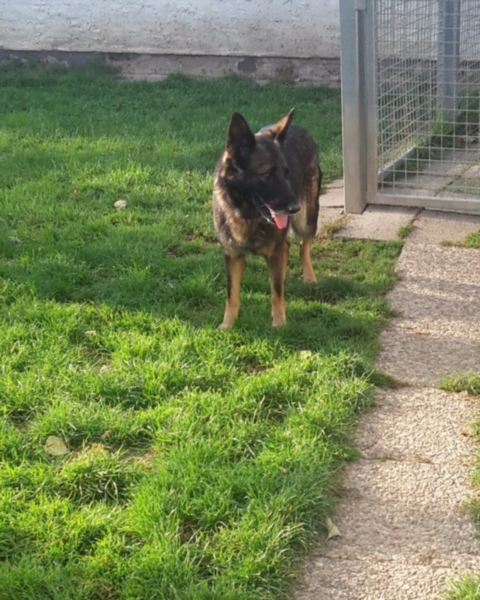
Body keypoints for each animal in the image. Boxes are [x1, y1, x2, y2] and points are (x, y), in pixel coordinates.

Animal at [212, 109, 321, 329]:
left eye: (286, 173)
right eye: (267, 174)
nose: (294, 208)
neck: (246, 213)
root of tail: (300, 129)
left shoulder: (274, 249)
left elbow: (276, 294)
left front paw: (279, 324)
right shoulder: (232, 256)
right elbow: (232, 295)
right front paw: (227, 325)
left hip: (306, 219)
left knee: (303, 246)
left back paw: (309, 276)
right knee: (287, 247)